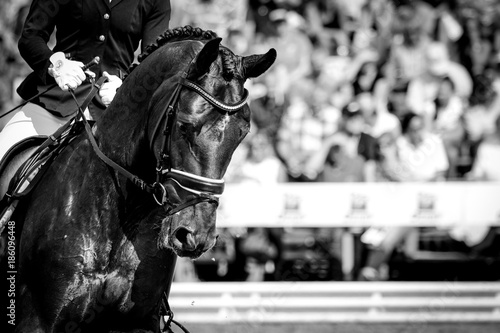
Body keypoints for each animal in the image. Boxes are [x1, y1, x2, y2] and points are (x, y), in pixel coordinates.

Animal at [0, 26, 276, 332]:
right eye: (184, 124)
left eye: (242, 133)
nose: (197, 235)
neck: (119, 211)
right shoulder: (37, 319)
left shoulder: (139, 322)